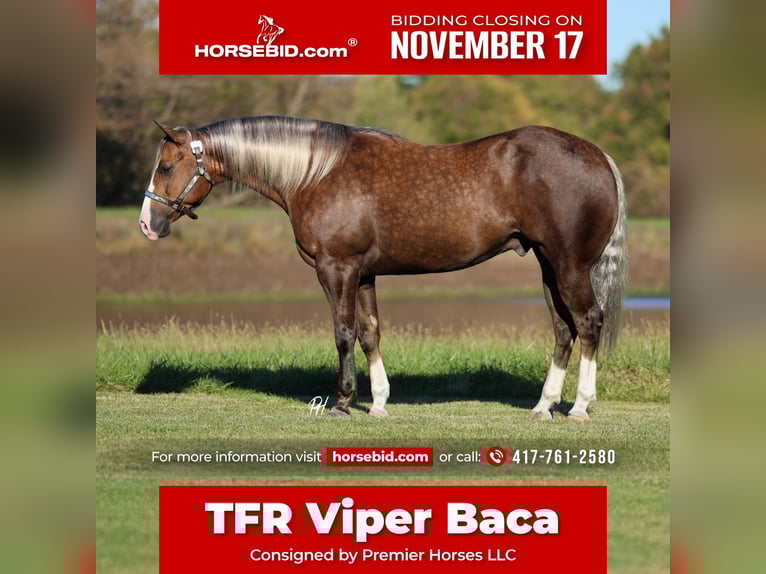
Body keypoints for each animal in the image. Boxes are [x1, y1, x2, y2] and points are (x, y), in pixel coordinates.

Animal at [139, 116, 628, 422]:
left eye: (166, 166)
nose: (147, 224)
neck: (316, 172)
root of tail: (598, 155)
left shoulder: (336, 268)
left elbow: (343, 332)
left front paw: (341, 403)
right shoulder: (364, 274)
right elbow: (370, 333)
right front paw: (377, 403)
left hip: (570, 265)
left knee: (588, 322)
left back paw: (579, 408)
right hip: (548, 266)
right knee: (564, 329)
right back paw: (544, 406)